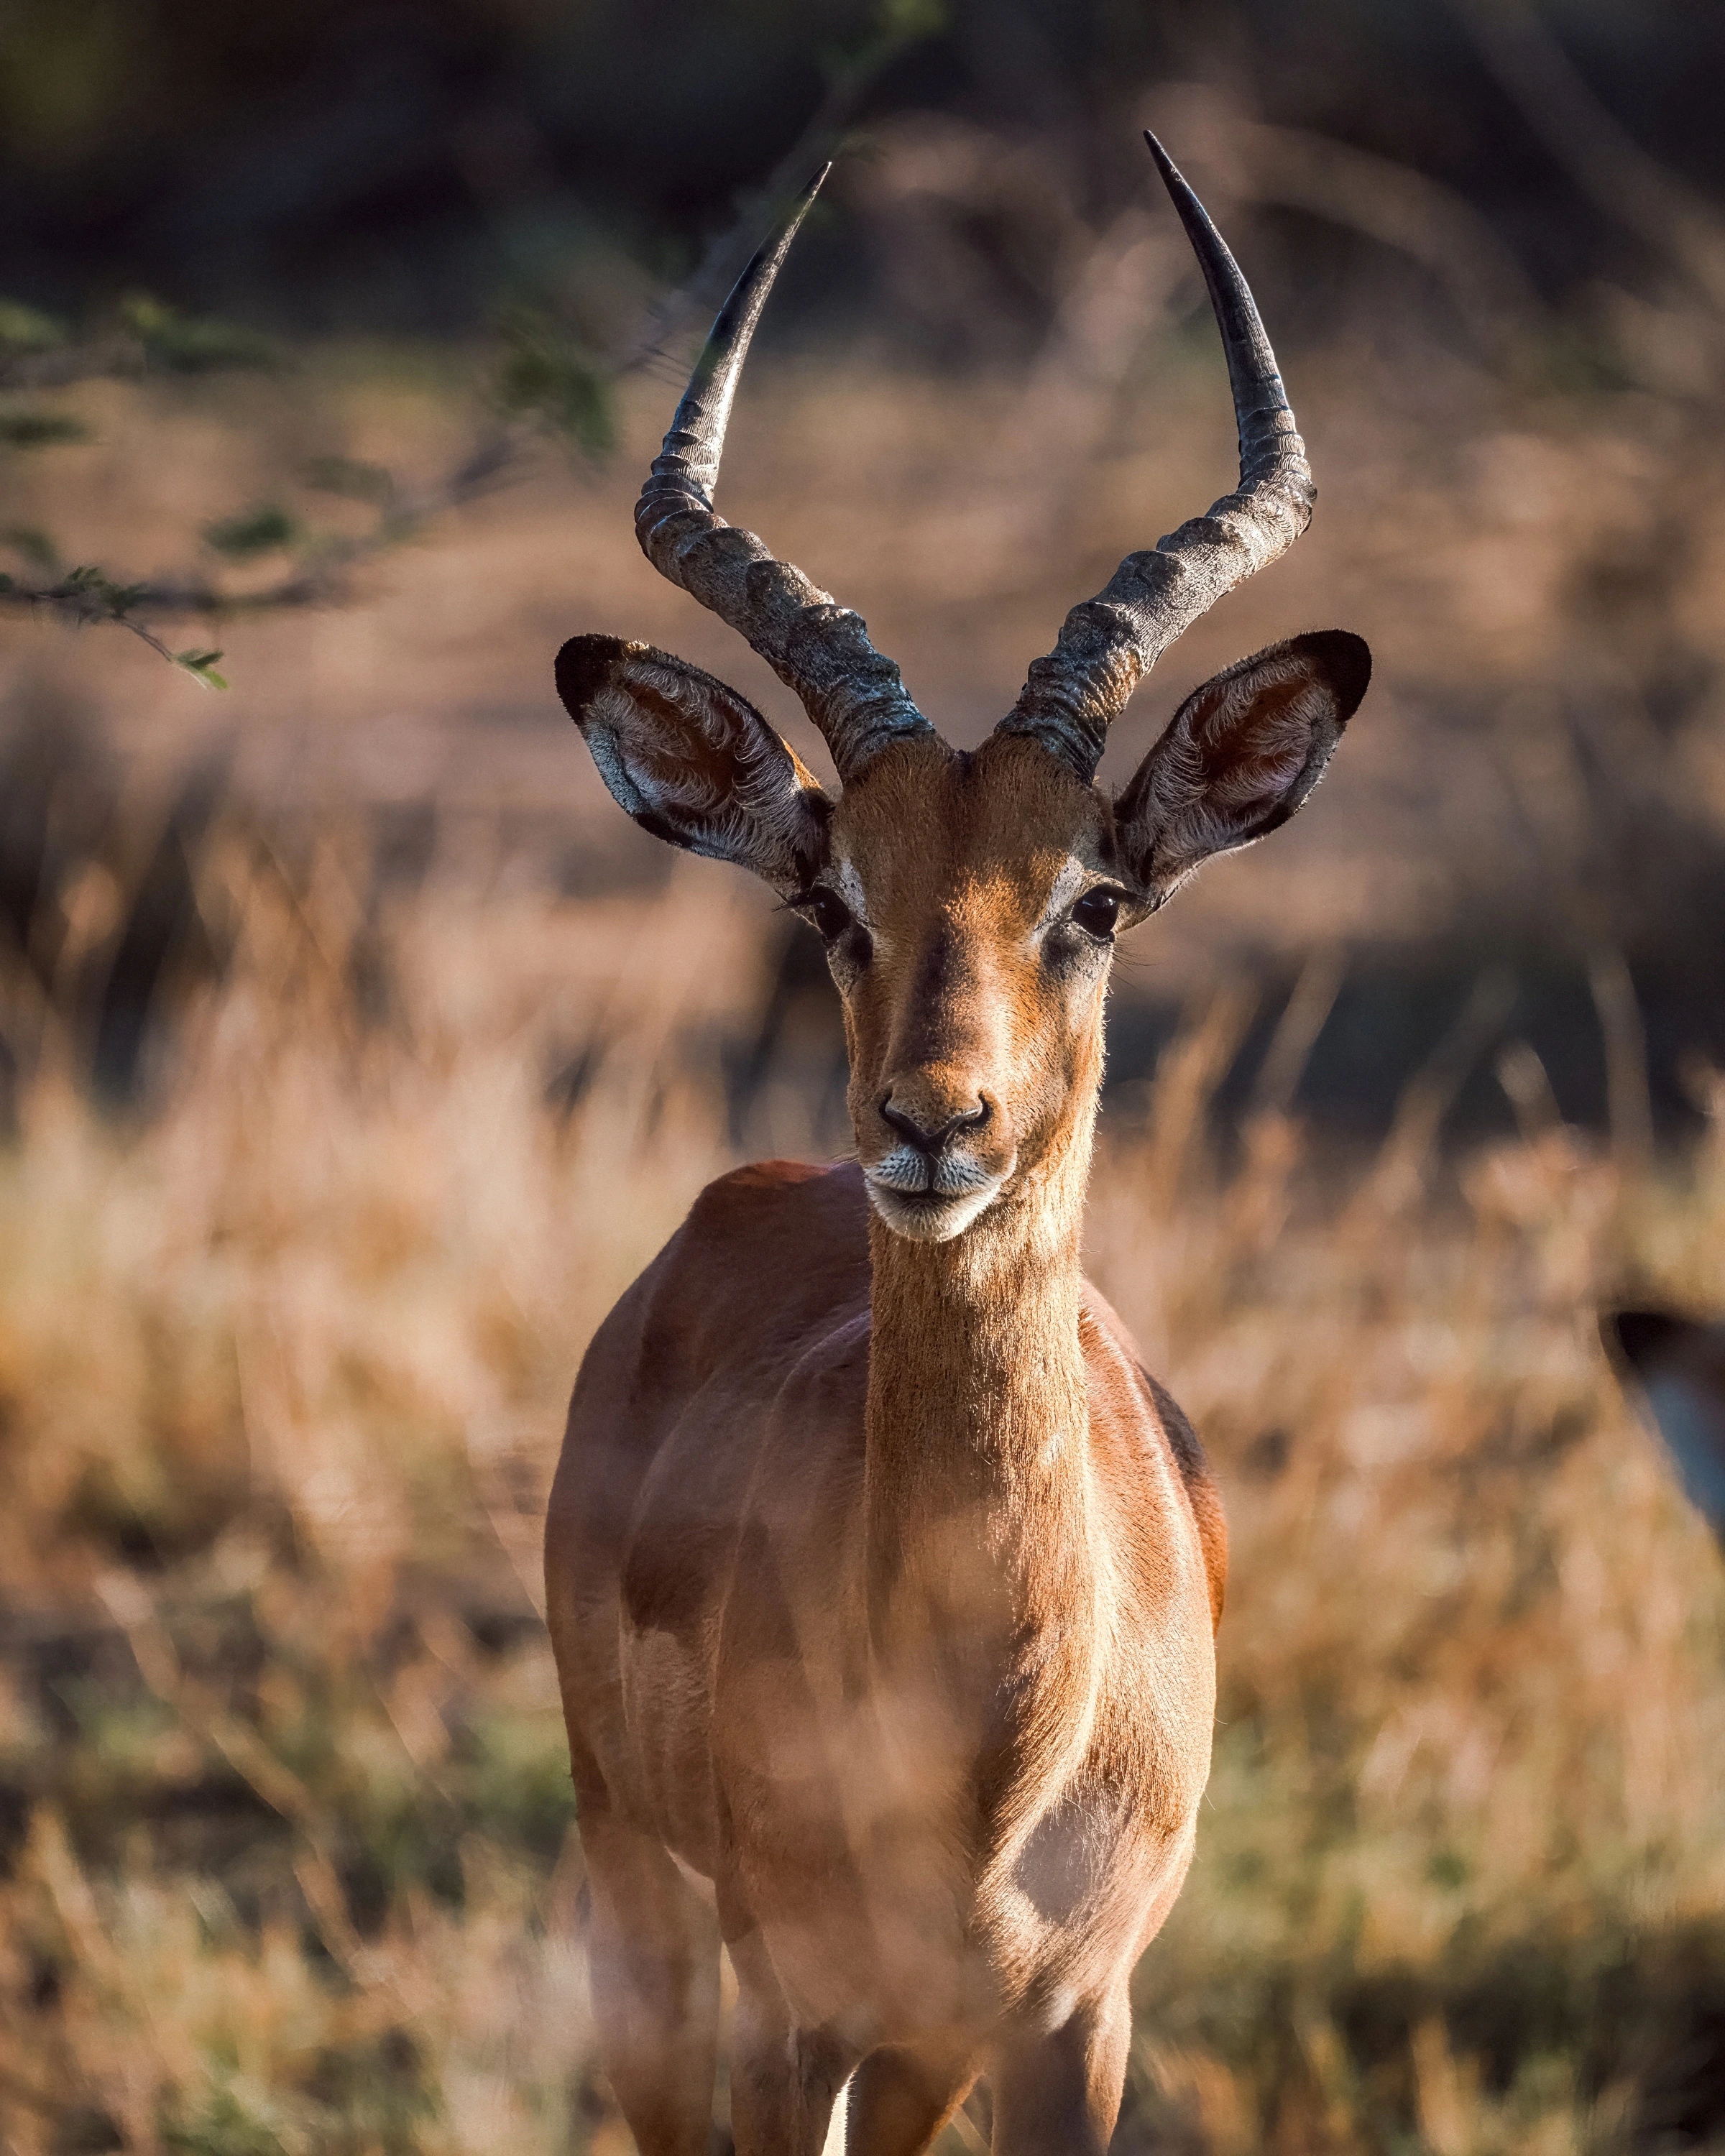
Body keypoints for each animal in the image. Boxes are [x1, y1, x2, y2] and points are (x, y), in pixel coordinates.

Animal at [545, 134, 1371, 2154]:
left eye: (1097, 899)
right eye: (832, 897)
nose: (934, 1125)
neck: (986, 1748)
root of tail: (740, 1198)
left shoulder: (1073, 2020)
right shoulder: (791, 2010)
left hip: (915, 2044)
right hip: (641, 1899)